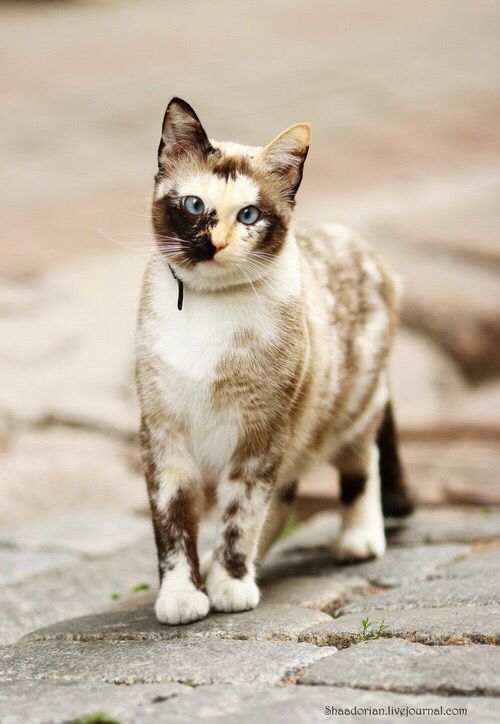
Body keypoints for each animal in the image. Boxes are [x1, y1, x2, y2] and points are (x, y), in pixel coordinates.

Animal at [135, 97, 412, 624]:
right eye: (195, 205)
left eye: (248, 215)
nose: (215, 243)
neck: (207, 311)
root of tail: (355, 240)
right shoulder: (165, 435)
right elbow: (174, 526)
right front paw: (183, 597)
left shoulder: (260, 432)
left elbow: (240, 515)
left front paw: (230, 586)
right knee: (281, 498)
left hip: (348, 412)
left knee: (361, 463)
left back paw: (358, 540)